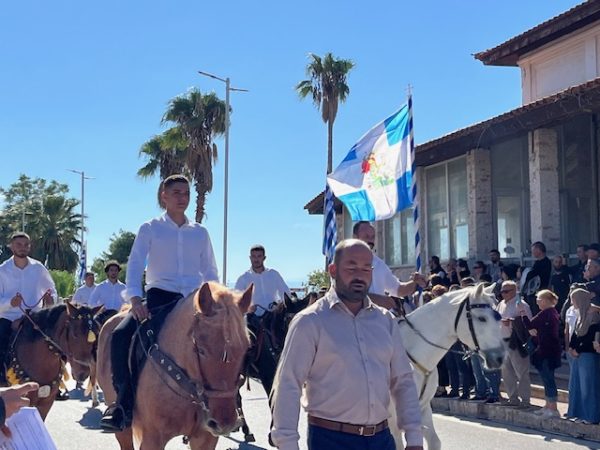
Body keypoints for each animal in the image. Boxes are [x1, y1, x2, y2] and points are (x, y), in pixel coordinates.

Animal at [96, 282, 252, 450]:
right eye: (201, 350)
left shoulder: (205, 438)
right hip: (122, 427)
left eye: (246, 349)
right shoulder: (152, 438)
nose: (224, 423)